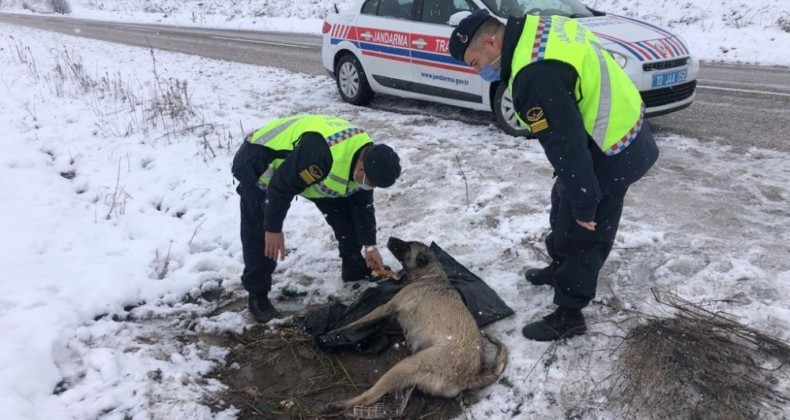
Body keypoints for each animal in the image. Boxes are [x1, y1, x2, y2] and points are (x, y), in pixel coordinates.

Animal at [320, 238, 508, 412]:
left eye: (408, 246)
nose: (390, 238)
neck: (429, 275)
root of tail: (470, 376)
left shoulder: (388, 307)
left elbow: (358, 322)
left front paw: (334, 332)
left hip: (407, 366)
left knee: (370, 397)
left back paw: (336, 405)